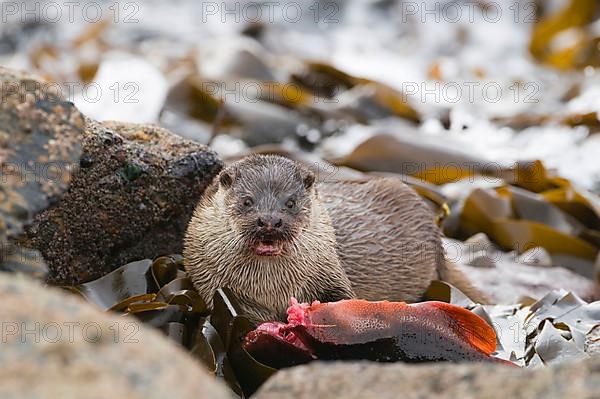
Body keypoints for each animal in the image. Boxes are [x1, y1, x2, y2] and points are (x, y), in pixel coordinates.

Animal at [184, 154, 488, 324]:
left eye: (291, 202)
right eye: (247, 201)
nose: (270, 220)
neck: (270, 289)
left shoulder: (329, 271)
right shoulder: (209, 281)